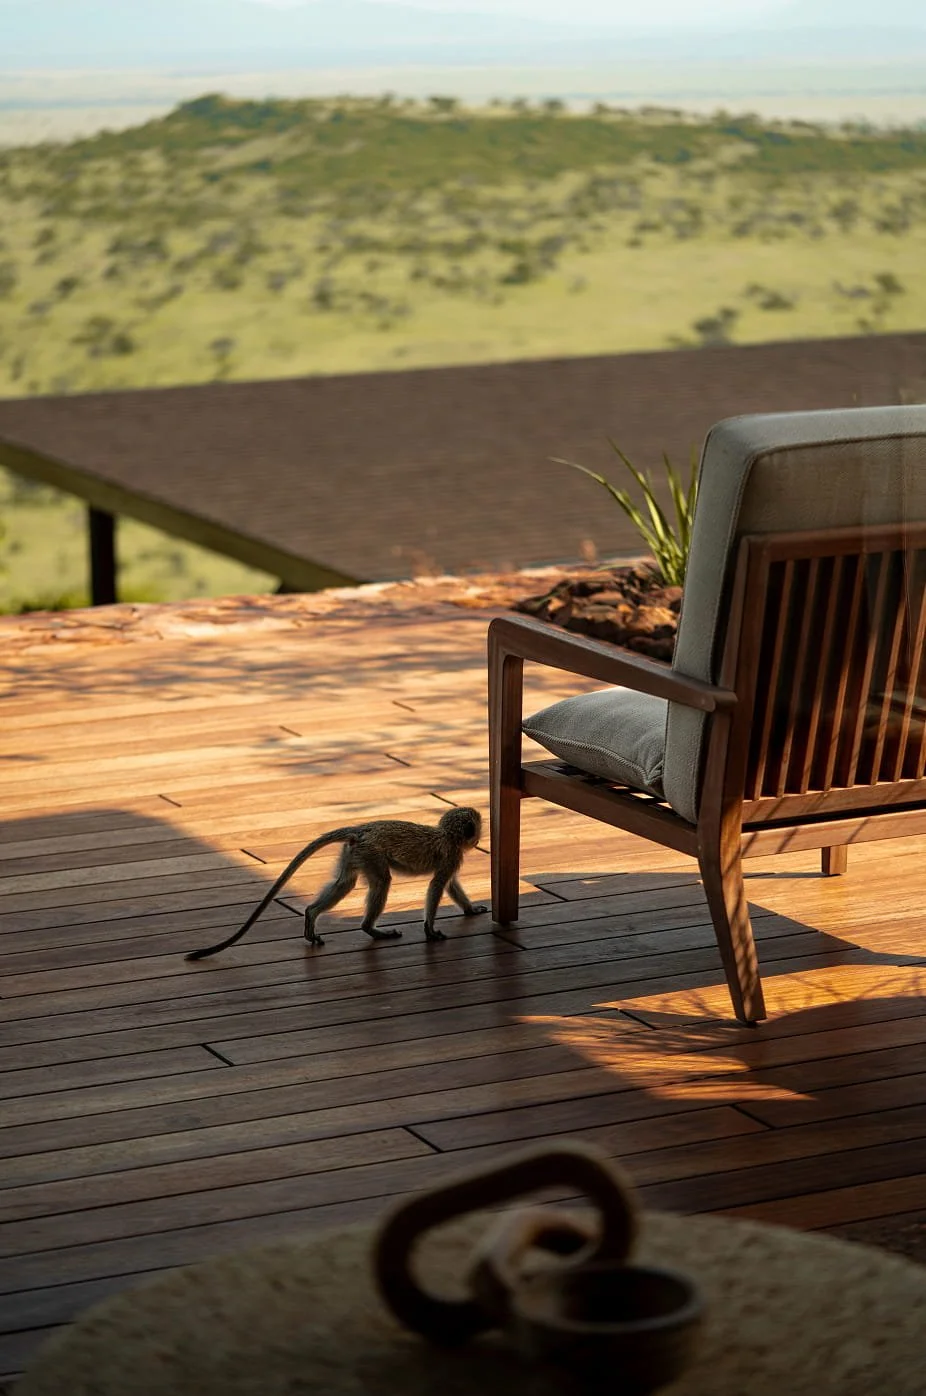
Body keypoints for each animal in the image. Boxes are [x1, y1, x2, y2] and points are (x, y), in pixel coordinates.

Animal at [185, 806, 487, 962]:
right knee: (381, 882)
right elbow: (437, 886)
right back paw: (371, 929)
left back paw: (311, 916)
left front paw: (470, 910)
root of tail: (361, 829)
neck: (448, 836)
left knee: (345, 883)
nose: (478, 839)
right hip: (371, 853)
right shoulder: (451, 855)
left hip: (354, 853)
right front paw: (430, 930)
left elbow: (450, 885)